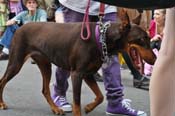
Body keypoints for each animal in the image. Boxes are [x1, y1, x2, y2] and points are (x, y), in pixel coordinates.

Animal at [0, 12, 156, 116]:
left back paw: (56, 109)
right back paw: (2, 103)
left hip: (45, 64)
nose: (155, 60)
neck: (101, 38)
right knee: (2, 81)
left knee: (45, 89)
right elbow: (76, 103)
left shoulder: (88, 74)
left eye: (149, 37)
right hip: (16, 62)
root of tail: (20, 27)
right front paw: (83, 108)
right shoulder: (77, 74)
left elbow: (100, 96)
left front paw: (89, 108)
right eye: (142, 39)